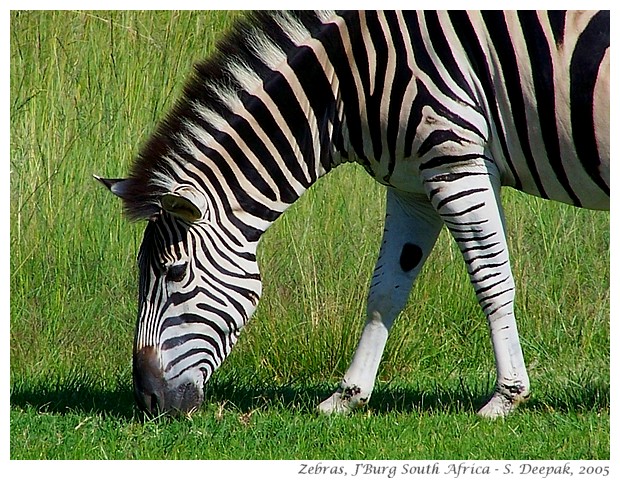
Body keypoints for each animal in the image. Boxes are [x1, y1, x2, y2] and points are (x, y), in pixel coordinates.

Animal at [98, 10, 612, 416]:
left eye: (175, 273)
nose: (147, 402)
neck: (351, 81)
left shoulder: (455, 160)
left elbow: (492, 281)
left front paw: (506, 397)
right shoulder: (413, 184)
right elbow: (386, 289)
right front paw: (347, 396)